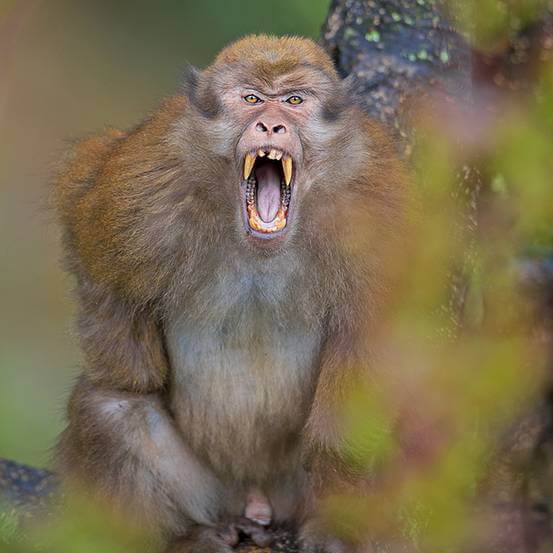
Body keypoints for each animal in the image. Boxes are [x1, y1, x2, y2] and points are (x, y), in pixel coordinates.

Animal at [54, 35, 412, 552]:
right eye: (251, 99)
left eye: (294, 101)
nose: (271, 123)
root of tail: (255, 498)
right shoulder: (143, 185)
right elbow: (90, 237)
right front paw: (133, 362)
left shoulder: (379, 206)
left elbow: (373, 340)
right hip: (210, 491)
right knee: (110, 410)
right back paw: (188, 536)